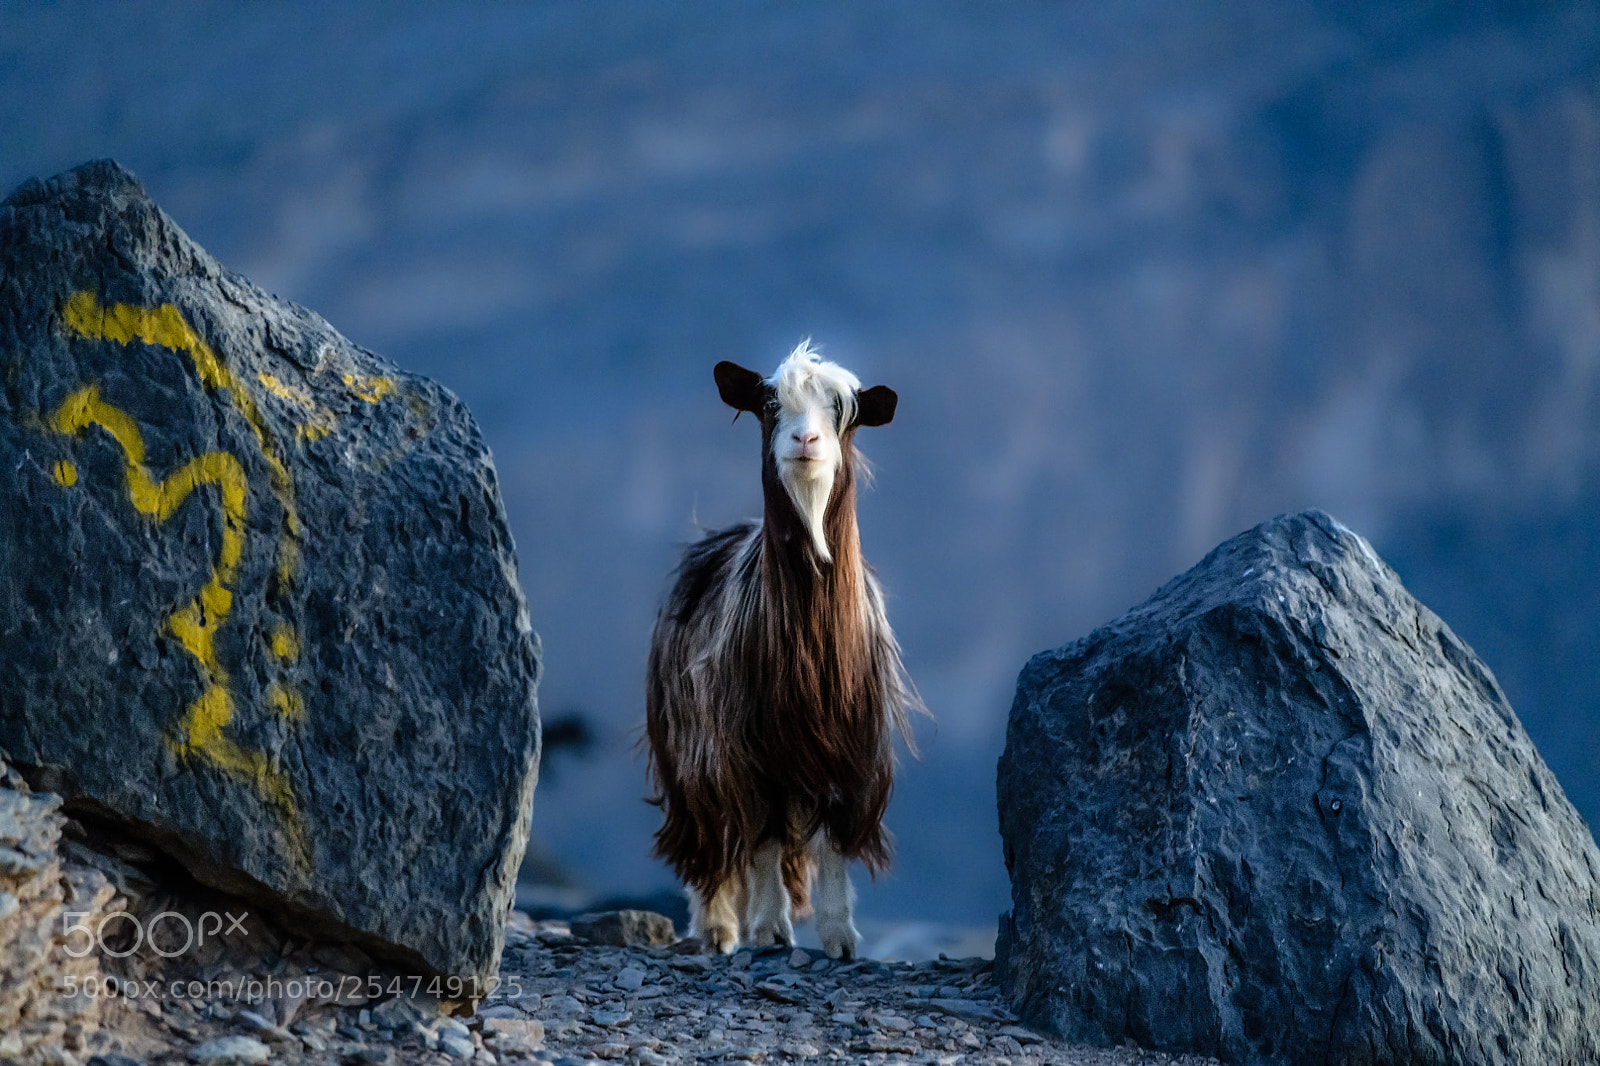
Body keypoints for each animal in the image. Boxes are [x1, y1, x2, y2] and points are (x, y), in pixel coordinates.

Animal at [645, 342, 921, 958]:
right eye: (770, 405)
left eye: (843, 411)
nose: (805, 439)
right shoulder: (748, 749)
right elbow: (765, 837)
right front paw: (771, 930)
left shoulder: (851, 748)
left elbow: (836, 841)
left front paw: (840, 937)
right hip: (688, 755)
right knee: (713, 840)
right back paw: (719, 929)